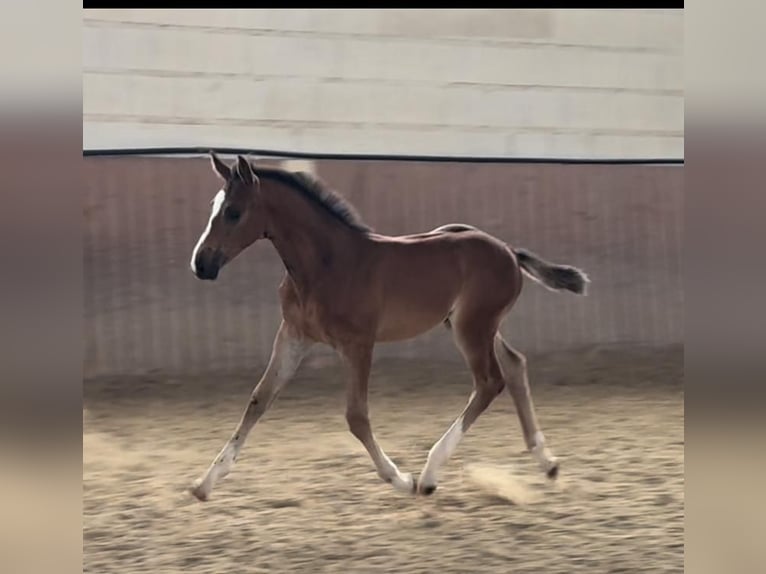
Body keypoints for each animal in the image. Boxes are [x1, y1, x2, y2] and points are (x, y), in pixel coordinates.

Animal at [189, 155, 592, 502]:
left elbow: (356, 416)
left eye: (234, 212)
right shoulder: (294, 336)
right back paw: (547, 462)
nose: (201, 264)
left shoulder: (358, 343)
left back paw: (428, 476)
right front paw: (204, 483)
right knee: (514, 364)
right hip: (472, 325)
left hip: (472, 327)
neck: (327, 263)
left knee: (490, 381)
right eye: (213, 207)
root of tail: (508, 249)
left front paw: (400, 479)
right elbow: (259, 399)